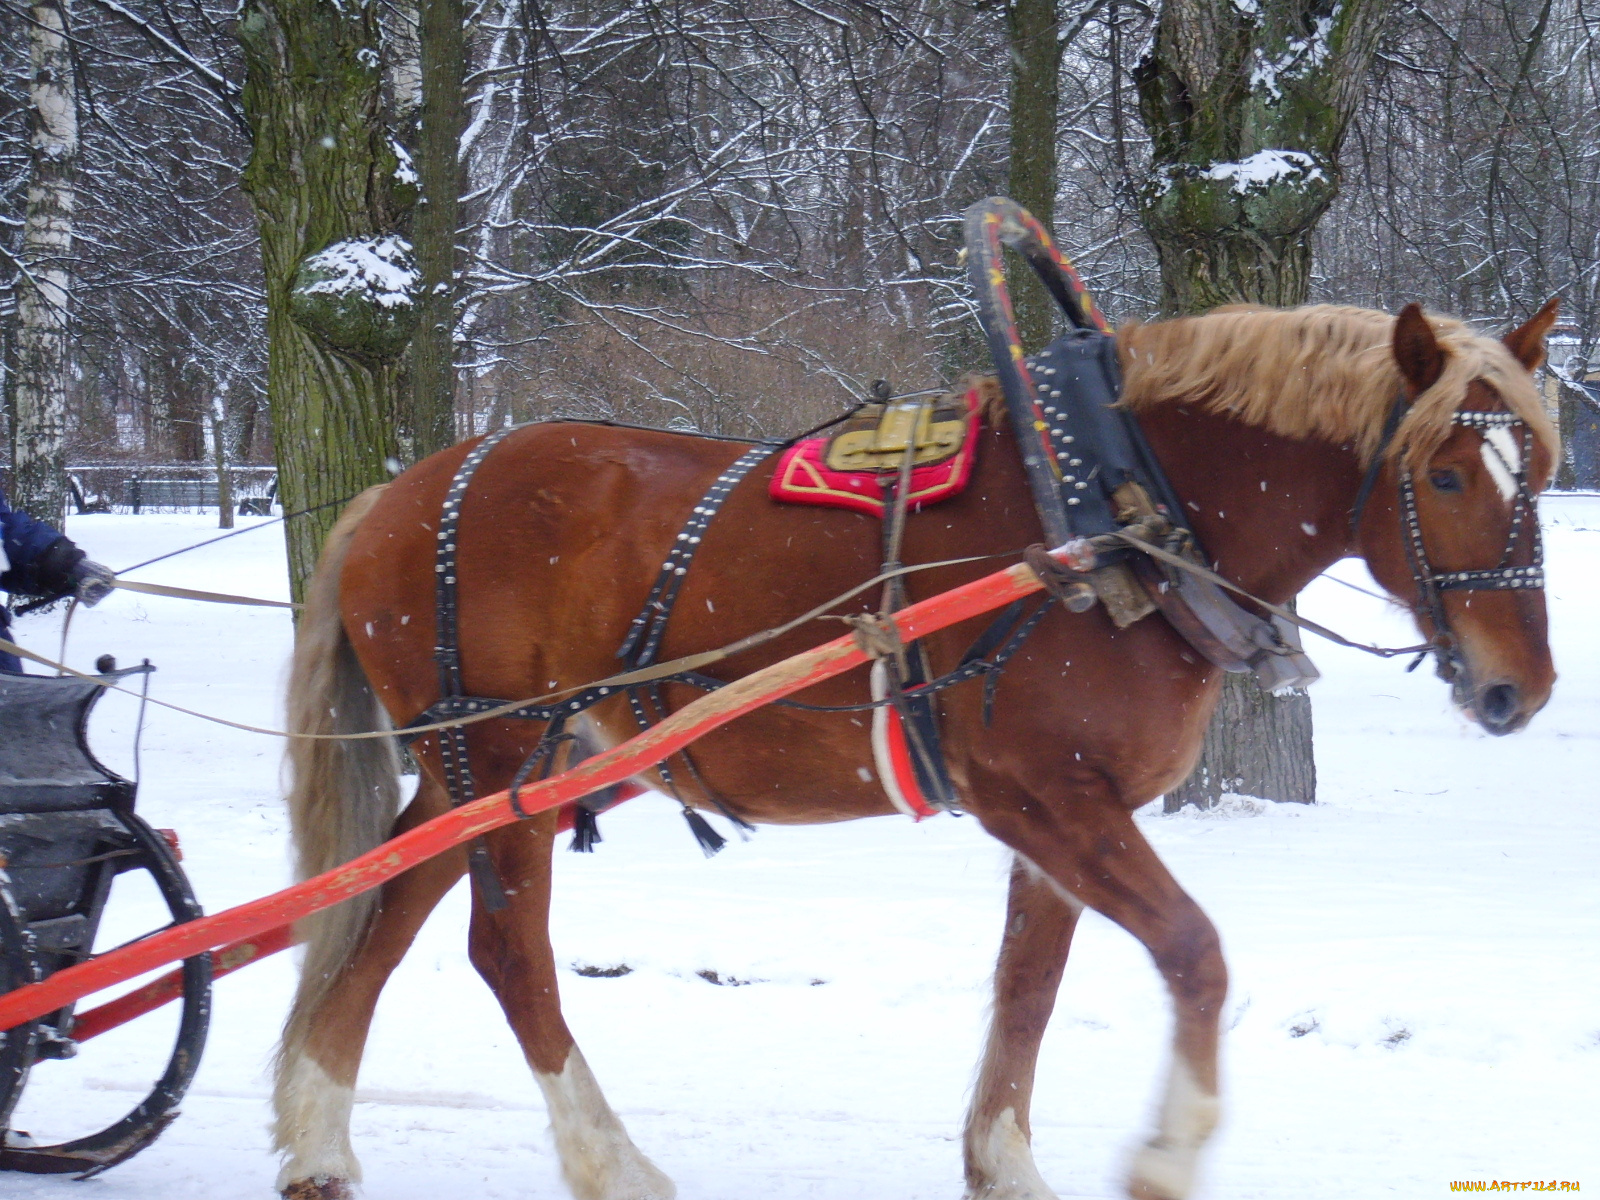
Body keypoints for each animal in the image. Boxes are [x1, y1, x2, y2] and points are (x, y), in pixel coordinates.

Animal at [268, 299, 1555, 1200]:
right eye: (1444, 473)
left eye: (1538, 469)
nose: (1519, 690)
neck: (1112, 518)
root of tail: (400, 488)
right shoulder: (1044, 799)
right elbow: (1192, 954)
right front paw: (1167, 1153)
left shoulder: (1062, 817)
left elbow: (1027, 991)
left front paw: (1004, 1163)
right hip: (497, 759)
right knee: (504, 950)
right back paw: (605, 1161)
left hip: (490, 773)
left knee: (380, 913)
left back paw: (316, 1133)